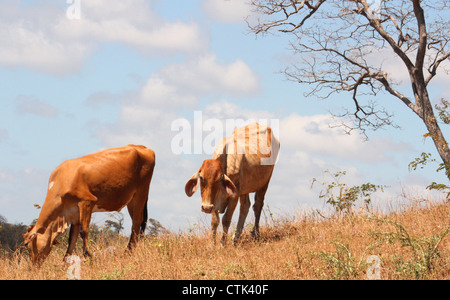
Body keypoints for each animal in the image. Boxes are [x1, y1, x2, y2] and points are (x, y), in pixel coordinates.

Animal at [23, 145, 156, 264]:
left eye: (27, 244)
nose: (31, 267)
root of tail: (142, 147)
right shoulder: (74, 214)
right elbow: (72, 238)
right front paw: (64, 262)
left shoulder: (87, 202)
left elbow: (84, 231)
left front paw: (88, 256)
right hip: (132, 200)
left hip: (141, 193)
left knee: (137, 223)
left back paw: (128, 253)